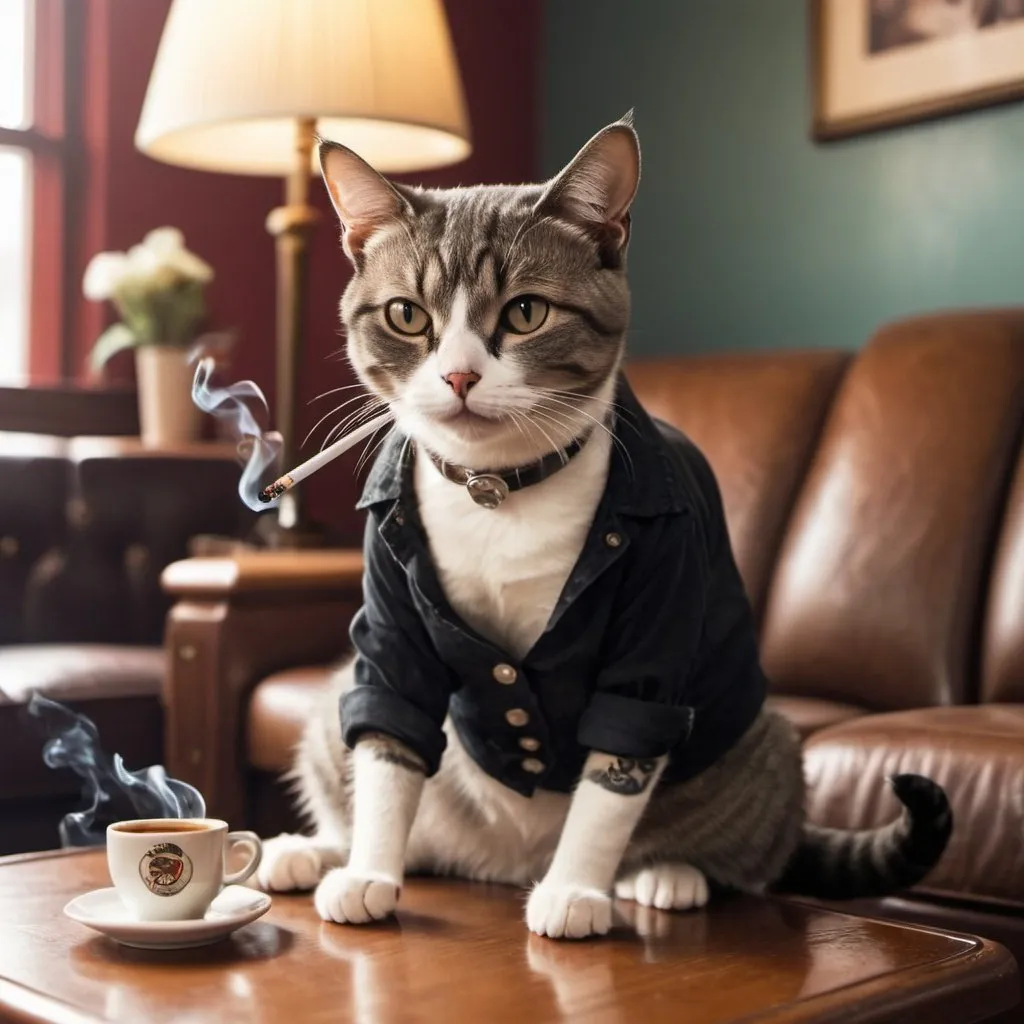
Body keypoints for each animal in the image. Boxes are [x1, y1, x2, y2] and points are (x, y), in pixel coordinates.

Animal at [258, 112, 950, 937]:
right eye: (407, 315)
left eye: (526, 312)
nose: (459, 376)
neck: (498, 490)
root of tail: (501, 864)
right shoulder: (392, 614)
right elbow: (389, 737)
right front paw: (367, 871)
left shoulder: (659, 602)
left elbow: (616, 766)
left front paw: (576, 891)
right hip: (329, 710)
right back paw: (309, 851)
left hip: (768, 742)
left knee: (740, 854)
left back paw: (666, 876)